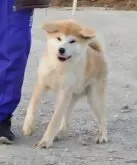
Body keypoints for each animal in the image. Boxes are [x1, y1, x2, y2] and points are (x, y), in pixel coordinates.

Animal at [22, 19, 108, 148]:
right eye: (59, 38)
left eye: (72, 41)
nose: (61, 49)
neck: (58, 67)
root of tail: (97, 53)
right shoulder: (41, 84)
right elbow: (32, 107)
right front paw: (28, 127)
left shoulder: (64, 93)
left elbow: (55, 120)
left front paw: (46, 141)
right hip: (71, 98)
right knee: (66, 119)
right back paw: (60, 133)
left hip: (94, 98)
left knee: (102, 118)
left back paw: (103, 136)